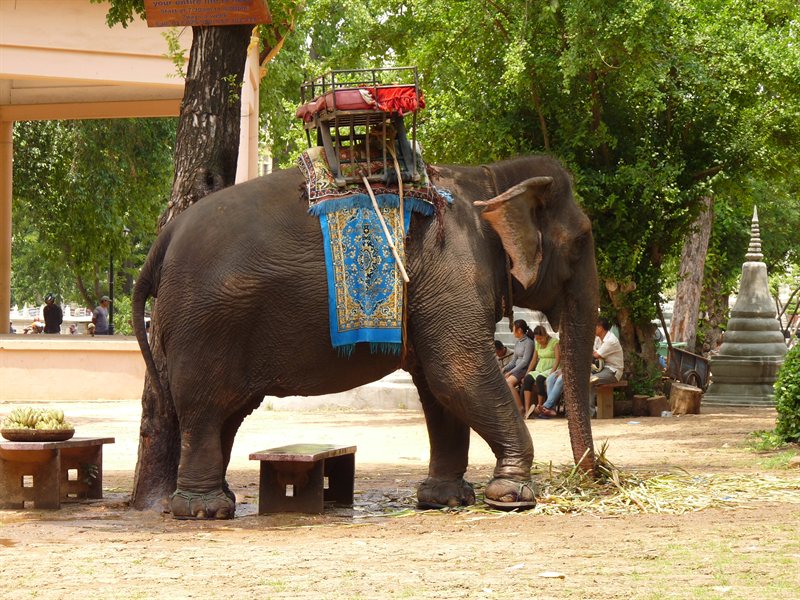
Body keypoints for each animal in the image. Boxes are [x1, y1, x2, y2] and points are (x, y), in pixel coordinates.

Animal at [132, 154, 598, 519]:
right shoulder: (455, 265)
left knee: (226, 414)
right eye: (580, 244)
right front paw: (513, 497)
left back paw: (218, 500)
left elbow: (438, 389)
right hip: (203, 325)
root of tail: (163, 240)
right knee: (205, 411)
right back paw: (204, 510)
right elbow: (458, 373)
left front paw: (446, 500)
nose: (595, 479)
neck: (492, 176)